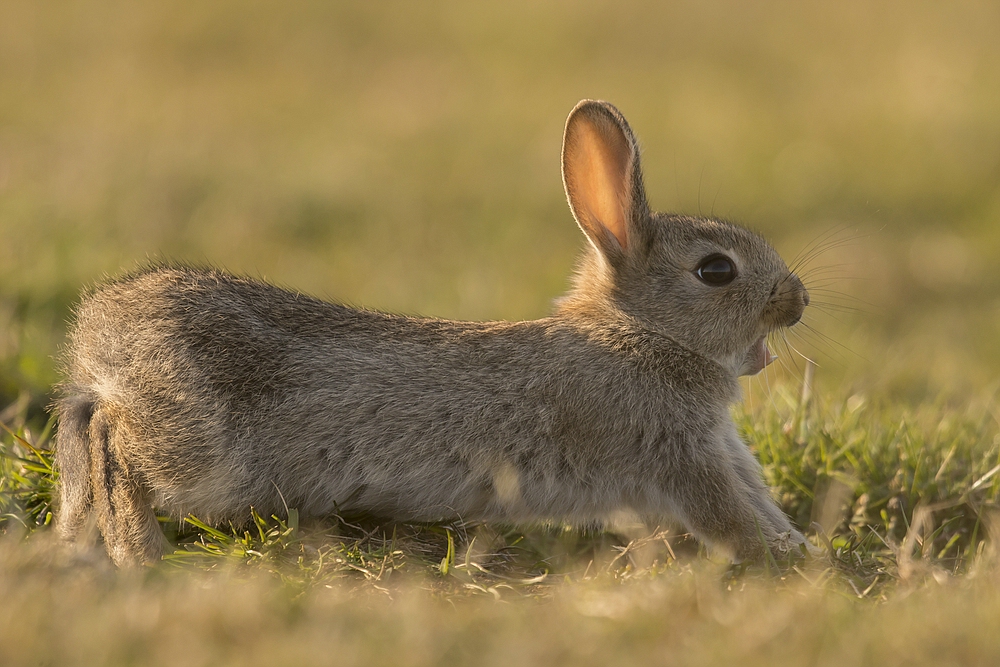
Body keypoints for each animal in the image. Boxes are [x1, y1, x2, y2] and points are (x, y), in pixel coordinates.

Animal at [54, 100, 812, 568]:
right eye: (716, 270)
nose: (799, 300)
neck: (640, 332)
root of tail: (98, 334)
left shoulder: (720, 446)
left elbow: (758, 498)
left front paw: (800, 545)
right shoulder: (677, 454)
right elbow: (726, 515)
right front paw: (786, 560)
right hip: (203, 449)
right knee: (112, 440)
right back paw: (139, 552)